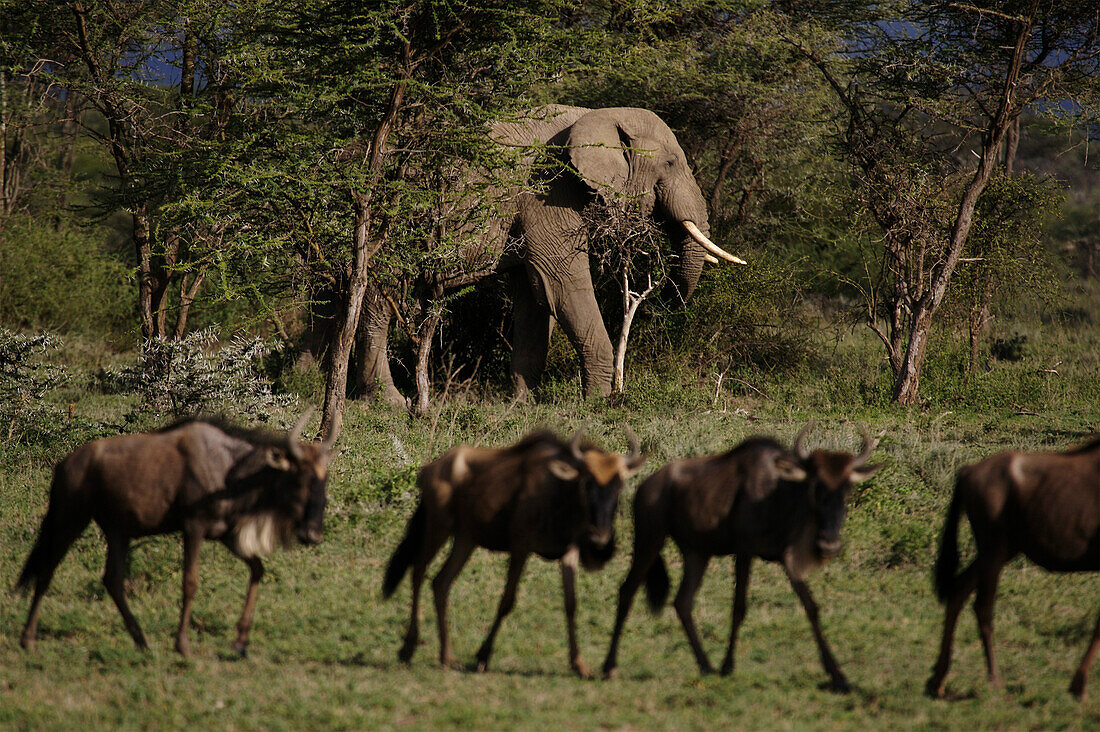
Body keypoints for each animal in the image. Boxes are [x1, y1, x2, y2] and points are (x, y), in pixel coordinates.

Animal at [356, 104, 743, 405]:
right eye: (672, 163)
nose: (663, 298)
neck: (595, 115)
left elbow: (536, 297)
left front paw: (523, 405)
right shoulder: (547, 192)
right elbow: (564, 285)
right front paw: (599, 402)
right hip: (392, 219)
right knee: (381, 295)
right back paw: (389, 402)